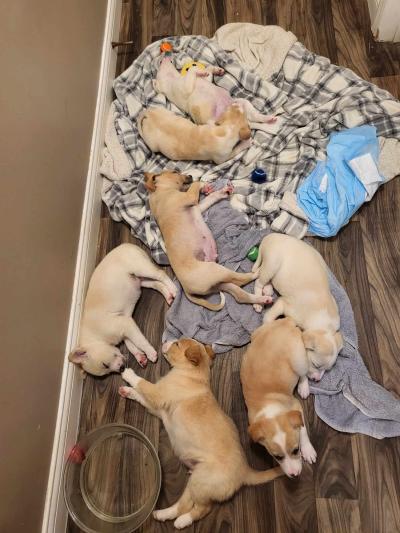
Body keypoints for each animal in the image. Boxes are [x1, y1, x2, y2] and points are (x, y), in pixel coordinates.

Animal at [68, 243, 176, 376]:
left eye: (105, 365)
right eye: (107, 370)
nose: (121, 369)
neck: (96, 339)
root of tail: (127, 245)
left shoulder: (125, 324)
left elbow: (139, 341)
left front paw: (150, 352)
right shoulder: (125, 329)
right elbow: (130, 344)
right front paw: (139, 356)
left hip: (141, 268)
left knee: (160, 274)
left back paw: (174, 289)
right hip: (141, 280)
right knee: (157, 284)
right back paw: (168, 295)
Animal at [144, 170, 272, 312]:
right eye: (175, 172)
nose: (190, 176)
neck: (161, 191)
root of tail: (186, 289)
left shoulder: (197, 206)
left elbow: (210, 198)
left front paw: (221, 192)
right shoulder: (188, 197)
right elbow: (195, 184)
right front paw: (204, 183)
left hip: (219, 284)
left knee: (240, 295)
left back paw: (263, 300)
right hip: (215, 271)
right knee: (241, 280)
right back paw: (258, 273)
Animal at [239, 318, 318, 476]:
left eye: (296, 450)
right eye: (277, 457)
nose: (294, 475)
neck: (270, 409)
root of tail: (286, 321)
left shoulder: (296, 406)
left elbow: (303, 430)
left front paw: (308, 450)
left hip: (298, 359)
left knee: (303, 373)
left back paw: (304, 387)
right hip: (254, 336)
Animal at [253, 234, 344, 390]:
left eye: (327, 370)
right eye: (316, 365)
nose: (317, 380)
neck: (323, 325)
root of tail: (270, 235)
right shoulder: (284, 304)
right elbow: (269, 318)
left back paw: (268, 290)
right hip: (272, 264)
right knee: (258, 281)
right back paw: (258, 301)